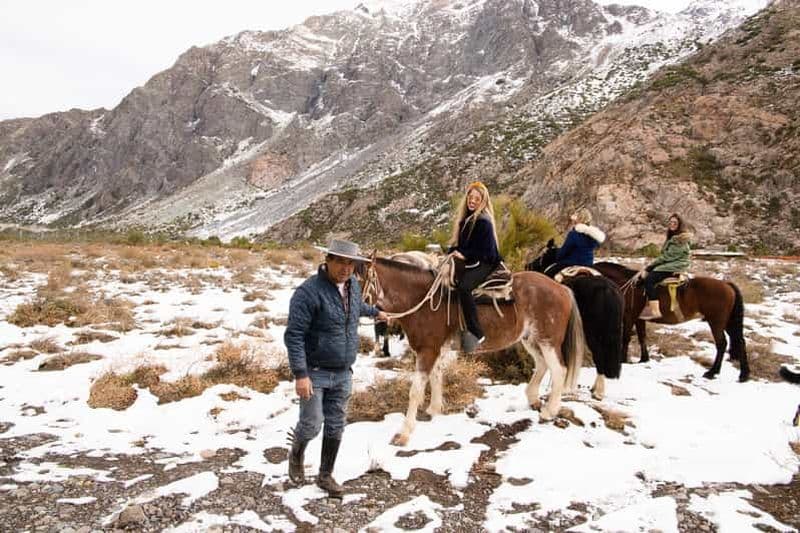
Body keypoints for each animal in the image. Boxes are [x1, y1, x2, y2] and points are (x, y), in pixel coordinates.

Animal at [364, 255, 587, 446]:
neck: (423, 300)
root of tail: (561, 288)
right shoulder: (436, 349)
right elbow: (436, 377)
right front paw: (434, 410)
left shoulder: (428, 350)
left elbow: (416, 391)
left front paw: (404, 434)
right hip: (530, 340)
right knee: (541, 364)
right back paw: (533, 399)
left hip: (548, 341)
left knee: (558, 370)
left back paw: (549, 411)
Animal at [525, 242, 624, 399]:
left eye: (543, 254)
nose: (528, 265)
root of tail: (607, 289)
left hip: (592, 333)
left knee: (598, 356)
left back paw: (598, 392)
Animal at [590, 261, 750, 382]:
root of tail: (727, 285)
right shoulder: (640, 319)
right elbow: (642, 337)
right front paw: (643, 359)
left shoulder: (629, 316)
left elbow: (626, 338)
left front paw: (623, 360)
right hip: (728, 322)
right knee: (740, 341)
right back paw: (743, 375)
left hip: (716, 322)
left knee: (722, 344)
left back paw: (712, 372)